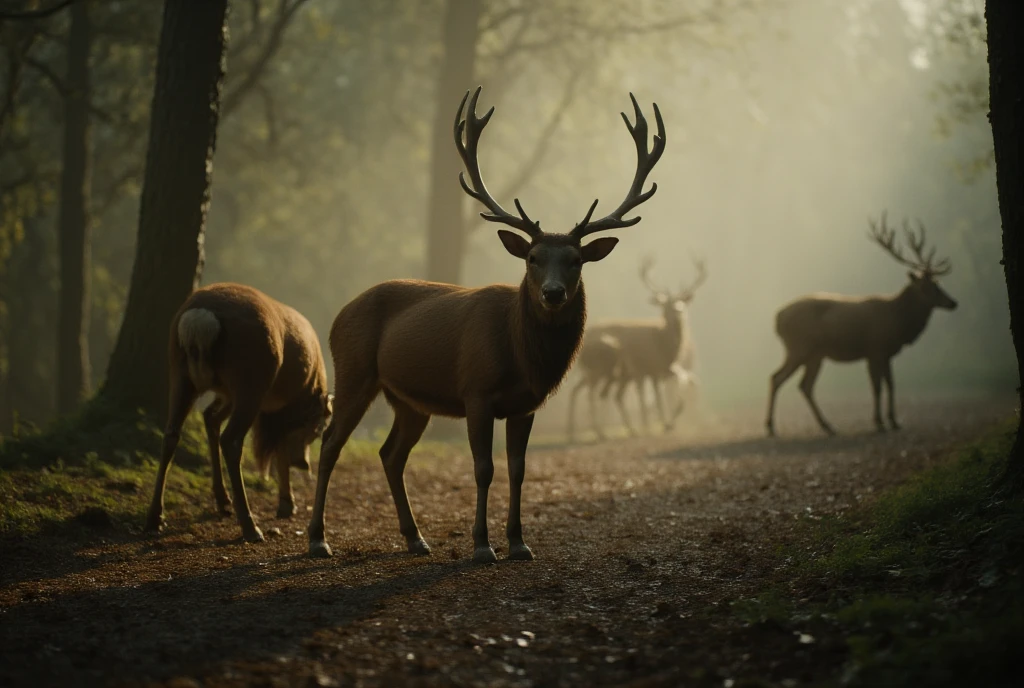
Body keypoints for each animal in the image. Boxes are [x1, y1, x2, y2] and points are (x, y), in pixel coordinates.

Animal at [144, 282, 331, 544]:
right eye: (316, 429)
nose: (303, 464)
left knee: (175, 431)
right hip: (250, 383)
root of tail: (200, 320)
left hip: (181, 374)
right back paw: (250, 527)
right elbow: (279, 445)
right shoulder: (279, 408)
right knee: (231, 440)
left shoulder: (232, 396)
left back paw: (157, 517)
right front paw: (286, 503)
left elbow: (213, 418)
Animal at [307, 86, 667, 561]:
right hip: (354, 369)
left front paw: (518, 543)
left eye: (576, 260)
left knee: (390, 453)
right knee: (331, 442)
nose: (553, 293)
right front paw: (481, 546)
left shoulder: (526, 404)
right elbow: (483, 468)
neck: (521, 358)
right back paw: (318, 539)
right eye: (533, 257)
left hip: (408, 399)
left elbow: (518, 468)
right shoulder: (475, 390)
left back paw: (415, 538)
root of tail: (338, 315)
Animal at [569, 254, 704, 438]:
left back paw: (574, 433)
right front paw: (655, 426)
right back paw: (600, 432)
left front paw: (667, 423)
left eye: (681, 303)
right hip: (600, 368)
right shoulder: (645, 369)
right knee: (593, 394)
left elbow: (676, 386)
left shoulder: (658, 371)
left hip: (595, 372)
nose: (678, 312)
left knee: (579, 391)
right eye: (665, 304)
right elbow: (651, 399)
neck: (663, 347)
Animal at [770, 211, 958, 436]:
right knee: (778, 378)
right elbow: (877, 387)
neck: (898, 323)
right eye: (927, 286)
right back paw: (771, 427)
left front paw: (894, 421)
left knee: (803, 385)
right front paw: (879, 422)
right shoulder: (874, 349)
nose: (953, 302)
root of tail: (777, 318)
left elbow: (891, 384)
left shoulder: (886, 354)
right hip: (799, 347)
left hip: (815, 354)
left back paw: (828, 426)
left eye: (938, 283)